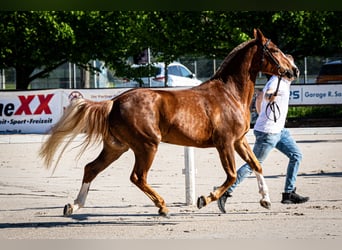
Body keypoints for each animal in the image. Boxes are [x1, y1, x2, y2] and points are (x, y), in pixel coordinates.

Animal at [38, 28, 298, 217]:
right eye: (274, 50)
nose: (293, 70)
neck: (229, 93)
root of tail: (115, 101)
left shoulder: (238, 141)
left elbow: (256, 165)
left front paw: (265, 200)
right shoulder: (224, 143)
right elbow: (233, 175)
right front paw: (205, 199)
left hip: (117, 147)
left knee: (91, 168)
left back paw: (74, 206)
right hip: (146, 146)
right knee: (137, 177)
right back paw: (163, 207)